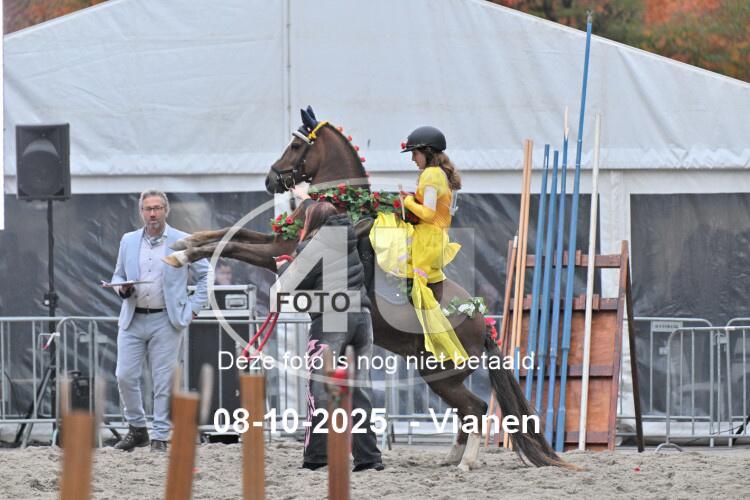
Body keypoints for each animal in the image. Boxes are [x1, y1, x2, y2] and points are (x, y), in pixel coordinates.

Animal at [164, 106, 567, 470]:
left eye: (295, 146)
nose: (270, 180)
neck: (342, 206)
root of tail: (483, 321)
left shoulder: (281, 250)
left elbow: (234, 245)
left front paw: (181, 255)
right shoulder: (279, 242)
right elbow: (228, 235)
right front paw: (184, 244)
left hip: (442, 376)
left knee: (477, 408)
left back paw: (465, 462)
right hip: (437, 375)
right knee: (467, 413)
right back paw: (452, 458)